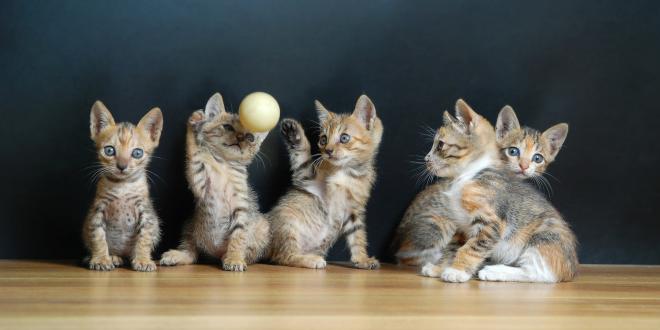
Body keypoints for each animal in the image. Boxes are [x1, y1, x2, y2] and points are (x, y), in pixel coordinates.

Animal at [82, 102, 165, 272]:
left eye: (137, 153)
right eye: (109, 150)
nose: (122, 166)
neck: (122, 186)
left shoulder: (147, 213)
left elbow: (144, 238)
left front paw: (143, 260)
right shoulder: (97, 211)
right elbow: (98, 237)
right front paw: (101, 259)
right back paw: (113, 257)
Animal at [159, 92, 270, 270]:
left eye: (250, 137)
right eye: (228, 127)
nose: (240, 137)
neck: (224, 164)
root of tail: (214, 253)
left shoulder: (241, 207)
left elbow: (239, 236)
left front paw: (234, 258)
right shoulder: (200, 181)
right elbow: (194, 153)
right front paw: (195, 123)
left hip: (263, 226)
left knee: (250, 253)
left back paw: (228, 256)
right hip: (190, 225)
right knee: (191, 253)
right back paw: (177, 255)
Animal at [266, 94, 382, 270]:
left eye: (344, 138)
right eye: (323, 139)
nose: (328, 150)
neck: (346, 172)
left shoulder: (353, 209)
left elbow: (357, 235)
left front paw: (362, 259)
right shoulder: (307, 178)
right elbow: (302, 158)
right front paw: (294, 134)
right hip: (287, 223)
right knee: (282, 256)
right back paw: (310, 260)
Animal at [402, 100, 576, 282]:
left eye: (440, 145)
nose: (426, 159)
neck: (467, 175)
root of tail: (571, 269)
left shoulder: (490, 222)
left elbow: (471, 248)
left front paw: (457, 271)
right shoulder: (462, 227)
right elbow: (452, 248)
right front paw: (440, 268)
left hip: (544, 238)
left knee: (539, 274)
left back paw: (494, 271)